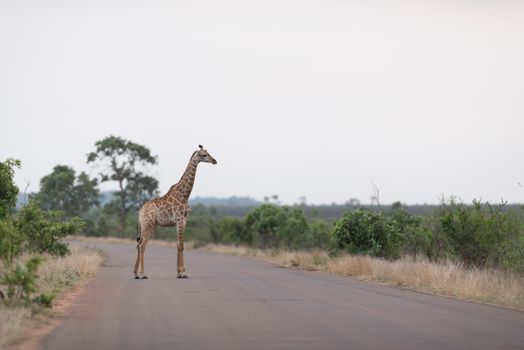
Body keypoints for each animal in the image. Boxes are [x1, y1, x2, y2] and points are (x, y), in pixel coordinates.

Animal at [135, 144, 219, 278]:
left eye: (208, 152)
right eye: (204, 154)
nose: (214, 161)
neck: (184, 195)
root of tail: (140, 211)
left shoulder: (183, 221)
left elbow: (178, 245)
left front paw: (179, 272)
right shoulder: (180, 220)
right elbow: (181, 245)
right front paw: (183, 272)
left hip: (145, 225)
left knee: (139, 244)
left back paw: (135, 273)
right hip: (149, 225)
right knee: (143, 245)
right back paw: (142, 274)